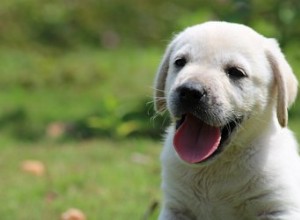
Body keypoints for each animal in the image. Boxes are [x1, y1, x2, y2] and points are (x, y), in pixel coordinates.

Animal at [155, 21, 300, 220]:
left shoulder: (280, 207)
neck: (215, 167)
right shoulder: (176, 208)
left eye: (236, 72)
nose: (190, 91)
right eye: (180, 62)